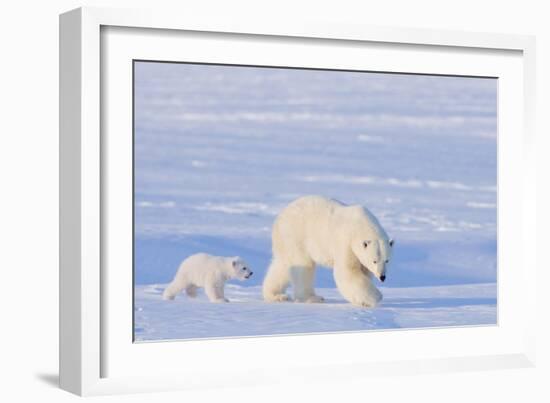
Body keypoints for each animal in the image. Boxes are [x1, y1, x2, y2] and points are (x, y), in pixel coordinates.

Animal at [262, 195, 392, 306]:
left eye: (387, 260)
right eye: (374, 261)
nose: (382, 277)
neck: (361, 226)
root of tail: (280, 217)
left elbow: (363, 271)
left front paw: (362, 301)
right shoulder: (345, 242)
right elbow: (347, 272)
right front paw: (377, 296)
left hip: (286, 242)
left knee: (282, 265)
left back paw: (275, 295)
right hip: (296, 235)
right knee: (303, 266)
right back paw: (313, 298)